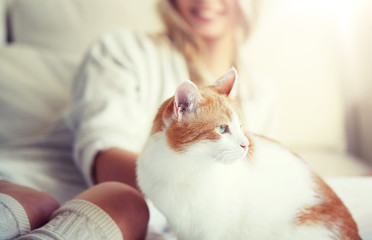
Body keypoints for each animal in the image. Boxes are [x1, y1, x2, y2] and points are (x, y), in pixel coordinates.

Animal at [137, 68, 360, 240]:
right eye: (222, 128)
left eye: (241, 126)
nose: (245, 144)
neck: (183, 169)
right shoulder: (180, 227)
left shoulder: (215, 230)